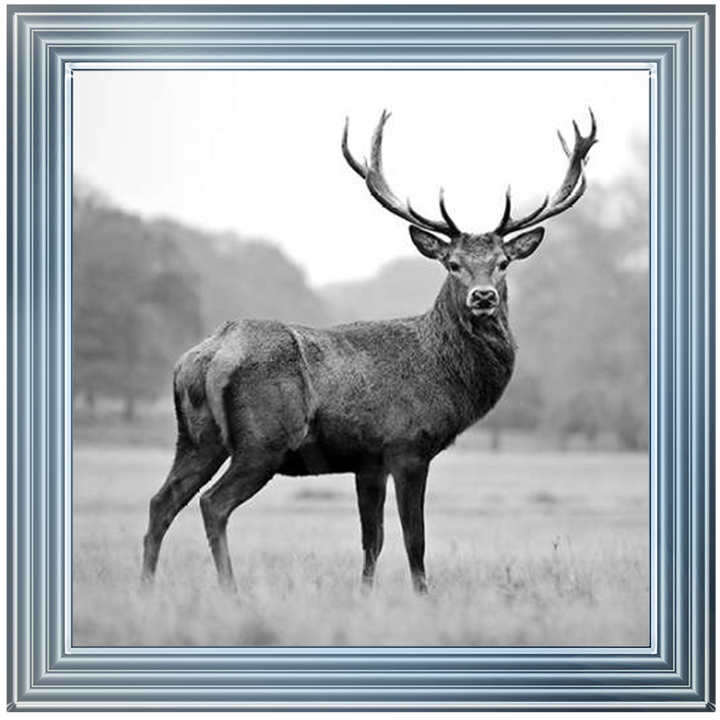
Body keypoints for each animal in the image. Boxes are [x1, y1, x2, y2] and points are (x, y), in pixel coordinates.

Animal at [141, 110, 597, 595]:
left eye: (503, 263)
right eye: (452, 263)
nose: (483, 297)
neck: (444, 376)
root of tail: (206, 356)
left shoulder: (368, 461)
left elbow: (371, 539)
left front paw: (365, 595)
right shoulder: (408, 446)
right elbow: (414, 538)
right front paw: (423, 596)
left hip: (196, 437)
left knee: (161, 501)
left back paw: (146, 587)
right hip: (263, 440)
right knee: (213, 503)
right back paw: (231, 591)